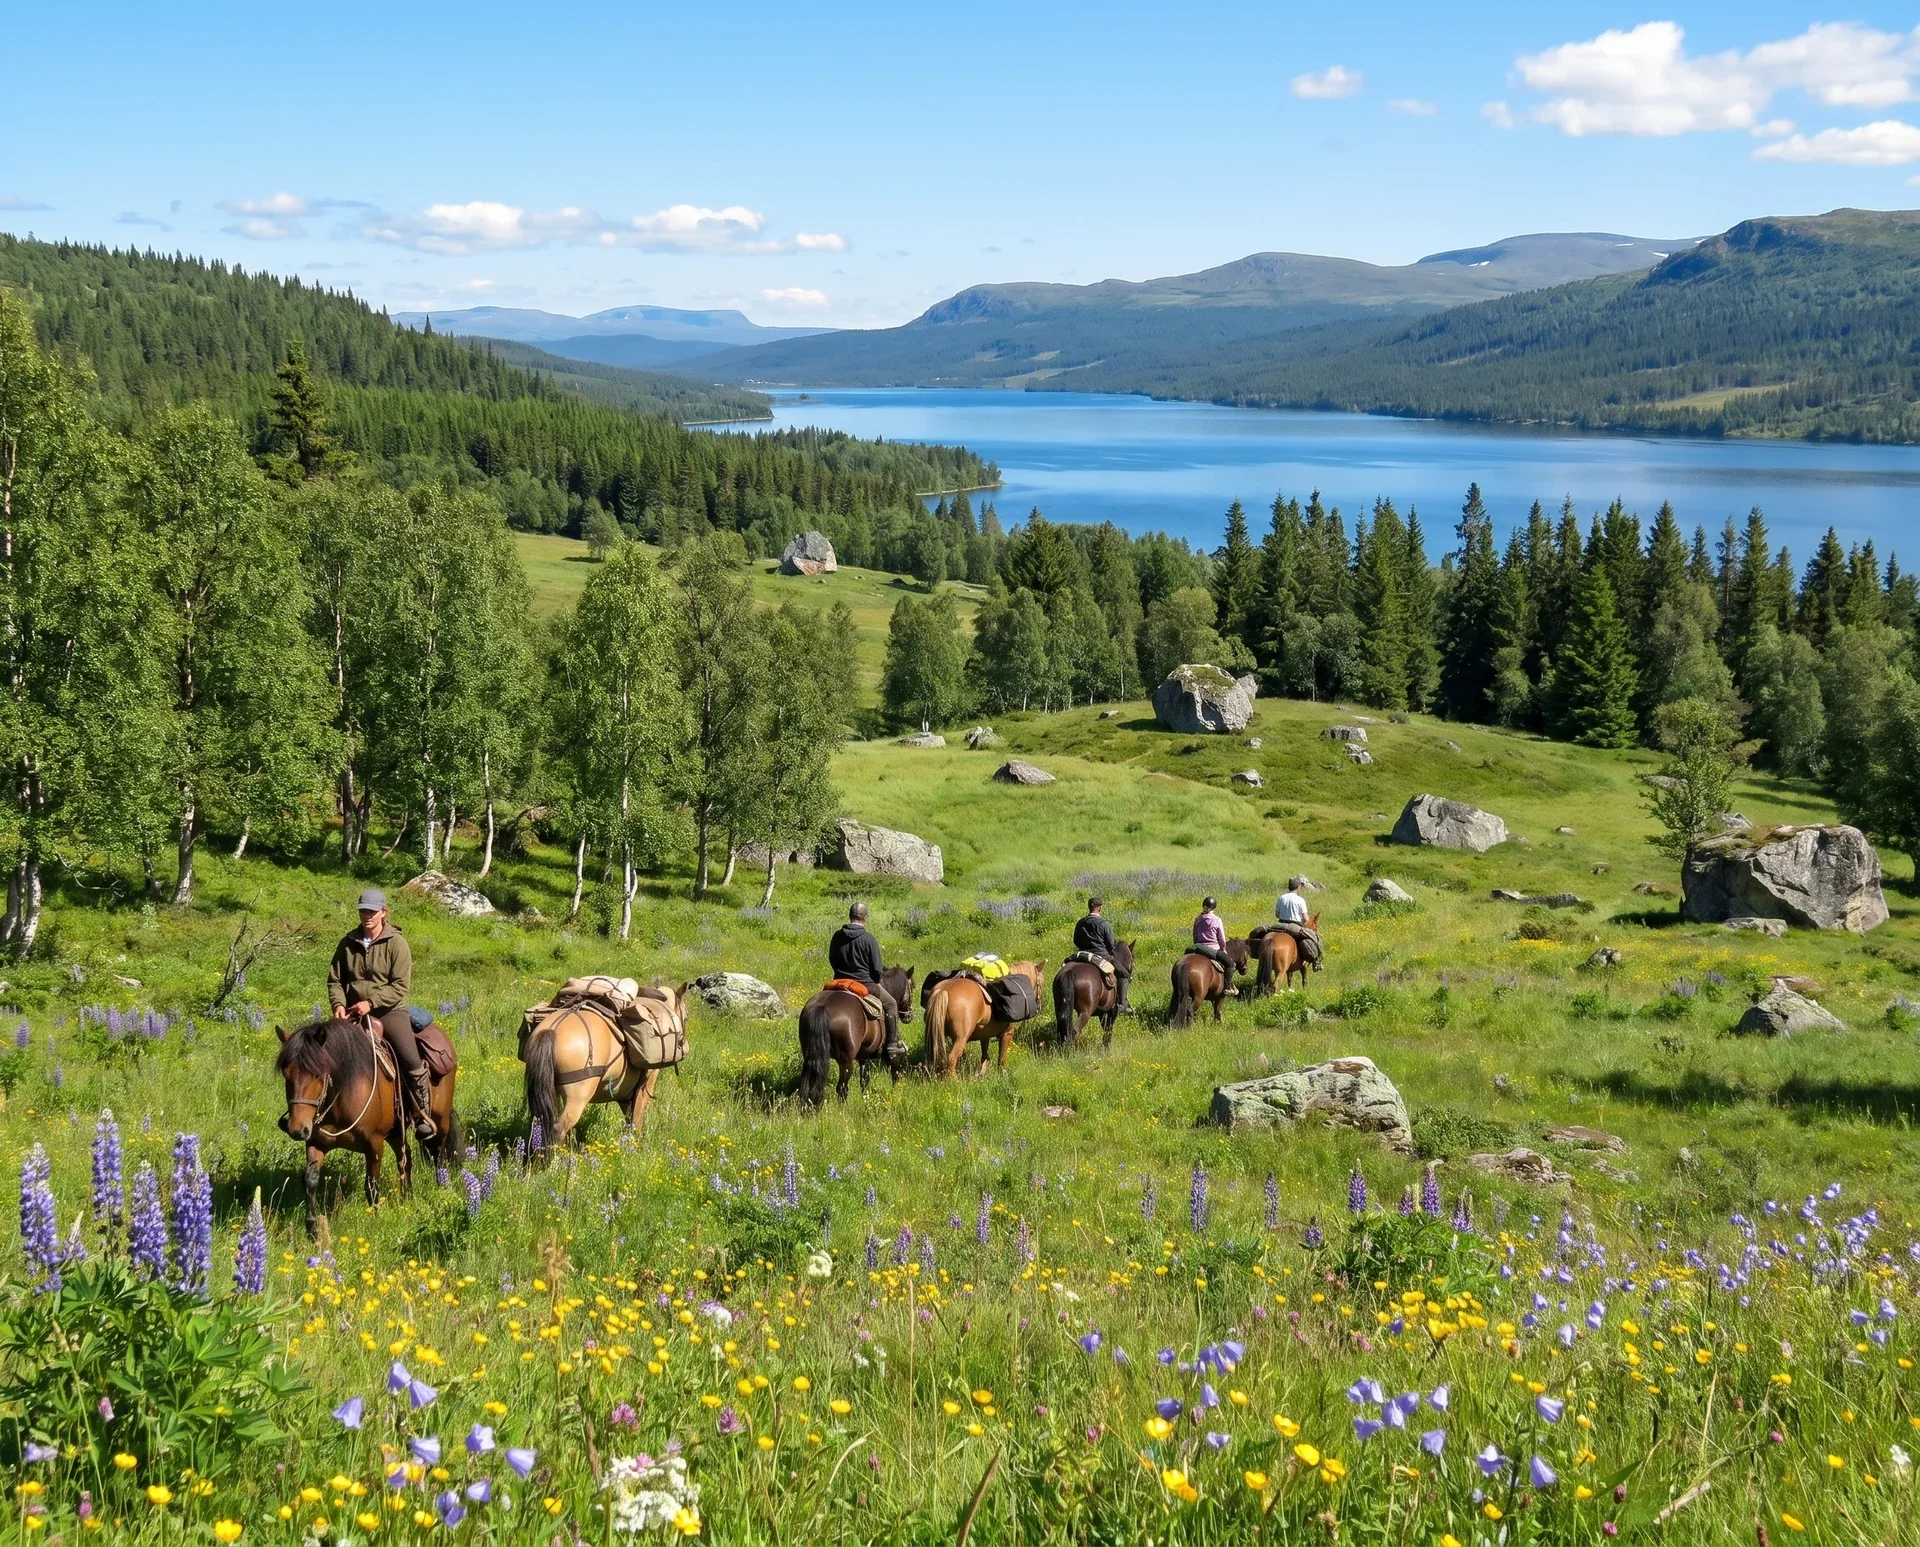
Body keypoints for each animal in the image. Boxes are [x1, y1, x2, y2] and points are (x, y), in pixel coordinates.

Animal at [276, 1016, 457, 1233]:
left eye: (318, 1074)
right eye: (286, 1074)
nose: (297, 1129)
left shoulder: (374, 1144)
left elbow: (371, 1184)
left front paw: (375, 1218)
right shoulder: (316, 1142)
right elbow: (310, 1180)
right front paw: (312, 1226)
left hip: (440, 1120)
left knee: (438, 1152)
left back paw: (443, 1186)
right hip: (396, 1133)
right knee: (405, 1159)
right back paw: (407, 1197)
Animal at [522, 985, 689, 1151]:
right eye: (686, 1017)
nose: (684, 1044)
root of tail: (551, 1030)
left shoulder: (625, 1093)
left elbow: (629, 1118)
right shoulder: (644, 1088)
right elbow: (636, 1121)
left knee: (540, 1125)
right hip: (577, 1097)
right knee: (558, 1129)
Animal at [797, 965, 916, 1106]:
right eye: (913, 986)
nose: (908, 1016)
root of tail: (822, 1006)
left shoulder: (863, 1055)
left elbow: (864, 1079)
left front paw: (866, 1098)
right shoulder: (892, 1053)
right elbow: (895, 1072)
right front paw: (897, 1092)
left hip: (811, 1055)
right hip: (846, 1061)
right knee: (842, 1088)